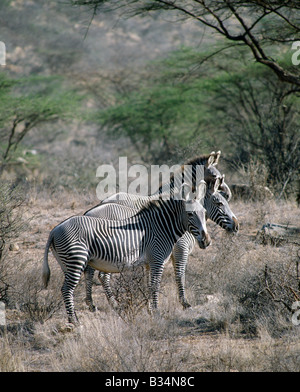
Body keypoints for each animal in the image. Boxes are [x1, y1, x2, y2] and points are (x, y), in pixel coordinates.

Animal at [42, 182, 211, 324]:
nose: (206, 240)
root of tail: (55, 230)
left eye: (204, 212)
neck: (161, 227)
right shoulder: (157, 260)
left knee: (69, 289)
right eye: (190, 214)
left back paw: (76, 317)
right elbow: (155, 286)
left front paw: (150, 310)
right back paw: (74, 321)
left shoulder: (149, 263)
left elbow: (149, 285)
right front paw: (157, 313)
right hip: (76, 260)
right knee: (67, 289)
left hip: (67, 264)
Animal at [83, 155, 238, 310]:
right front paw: (184, 303)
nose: (236, 226)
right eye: (219, 203)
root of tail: (90, 211)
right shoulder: (180, 249)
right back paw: (107, 304)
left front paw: (149, 305)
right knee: (100, 275)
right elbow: (180, 275)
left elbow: (149, 279)